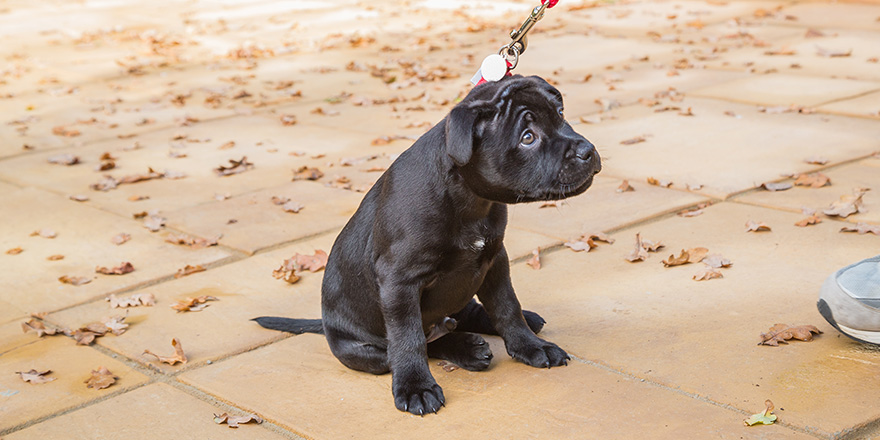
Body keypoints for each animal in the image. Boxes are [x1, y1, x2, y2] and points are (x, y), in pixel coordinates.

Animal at [254, 75, 600, 416]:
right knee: (408, 347)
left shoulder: (494, 259)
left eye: (561, 115)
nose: (588, 150)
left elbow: (506, 307)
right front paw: (416, 387)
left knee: (466, 313)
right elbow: (408, 339)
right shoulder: (399, 281)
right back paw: (465, 348)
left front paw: (530, 346)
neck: (470, 200)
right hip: (360, 350)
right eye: (528, 137)